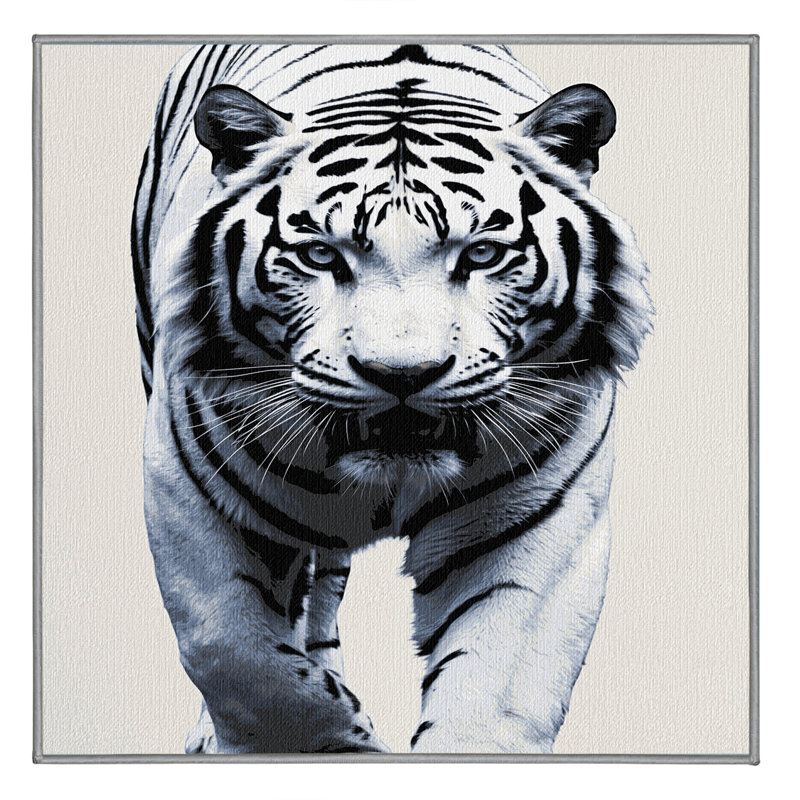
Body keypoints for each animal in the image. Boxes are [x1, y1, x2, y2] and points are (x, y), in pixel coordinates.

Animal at [132, 43, 652, 755]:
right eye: (319, 255)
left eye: (482, 254)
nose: (402, 375)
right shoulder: (189, 489)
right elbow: (236, 654)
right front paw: (342, 740)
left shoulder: (539, 519)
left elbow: (489, 704)